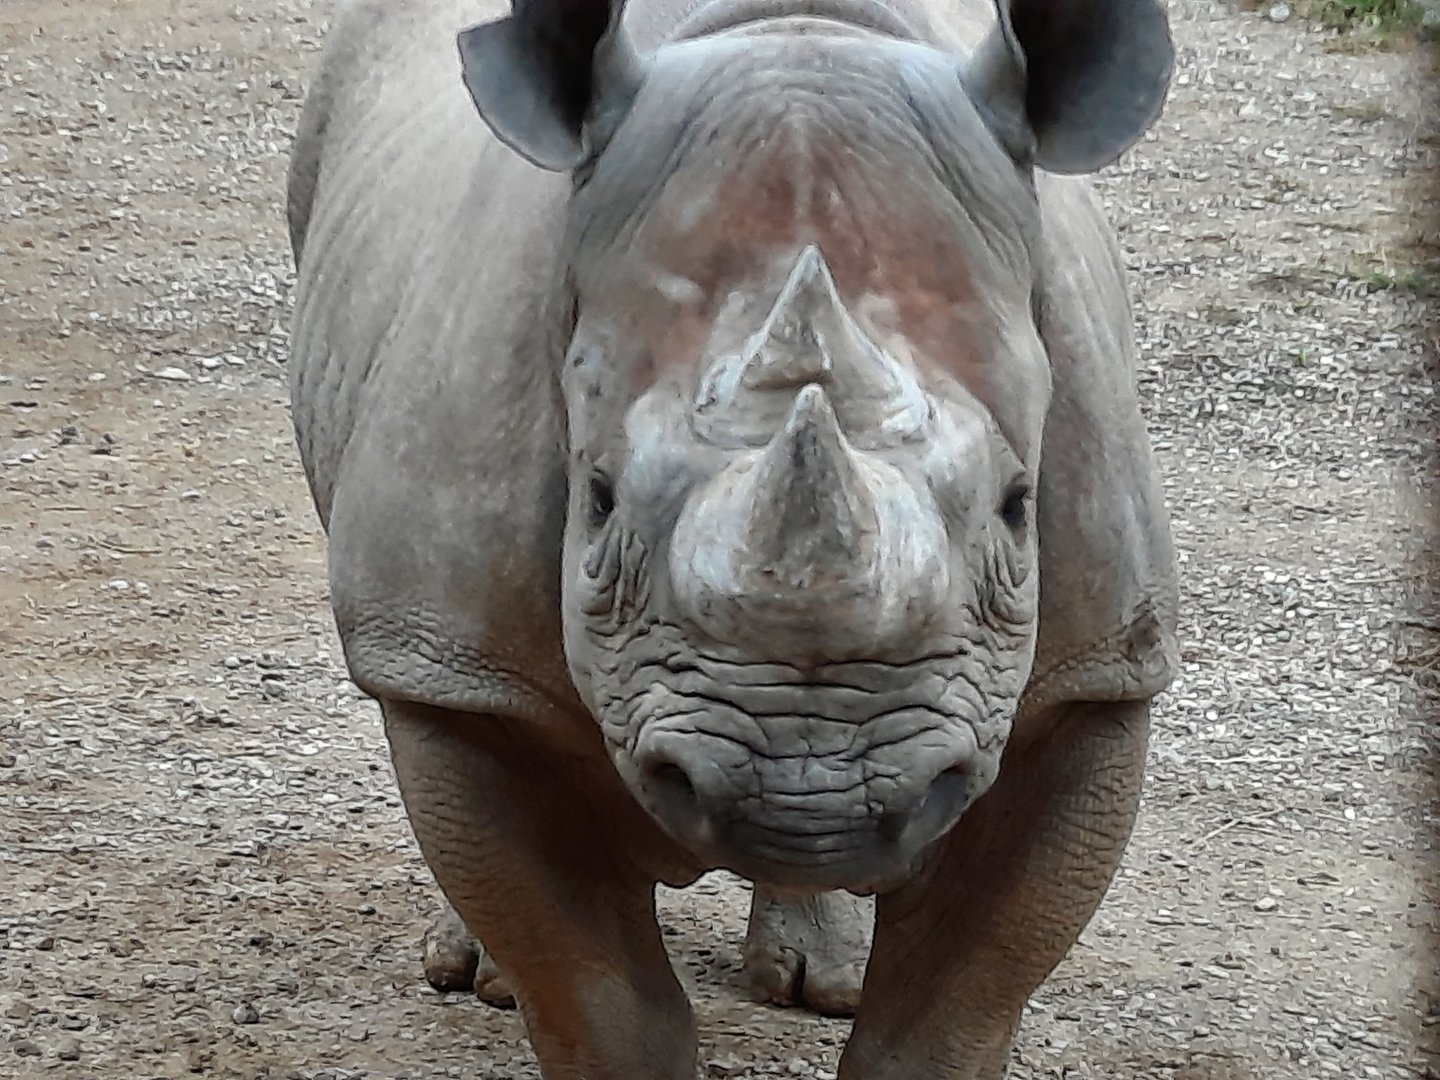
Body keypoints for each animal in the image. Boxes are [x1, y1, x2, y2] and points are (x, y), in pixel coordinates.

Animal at [284, 0, 1181, 1075]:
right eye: (597, 498)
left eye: (1018, 503)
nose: (806, 799)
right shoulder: (446, 660)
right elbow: (600, 1001)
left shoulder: (1097, 674)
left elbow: (952, 1007)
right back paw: (485, 976)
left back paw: (820, 979)